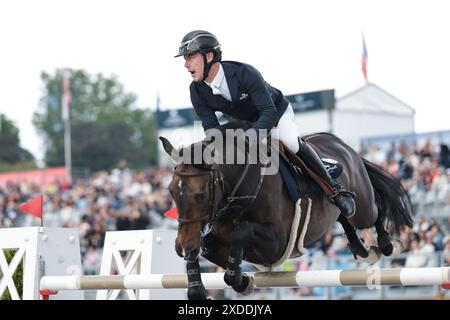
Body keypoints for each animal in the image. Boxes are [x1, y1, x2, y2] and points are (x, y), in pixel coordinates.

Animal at [159, 120, 414, 300]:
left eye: (200, 195)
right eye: (171, 191)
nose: (183, 247)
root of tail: (341, 144)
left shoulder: (276, 242)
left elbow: (241, 232)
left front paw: (237, 278)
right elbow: (210, 246)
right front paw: (234, 282)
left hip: (362, 207)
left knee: (373, 211)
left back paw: (385, 244)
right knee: (343, 218)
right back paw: (360, 249)